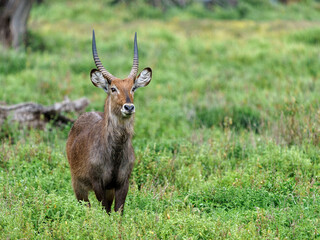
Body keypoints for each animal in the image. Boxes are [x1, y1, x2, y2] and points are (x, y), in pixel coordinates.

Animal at [66, 30, 152, 214]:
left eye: (133, 88)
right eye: (113, 88)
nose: (129, 107)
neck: (114, 155)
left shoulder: (122, 183)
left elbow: (118, 212)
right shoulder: (98, 183)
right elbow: (105, 210)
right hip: (78, 185)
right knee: (86, 207)